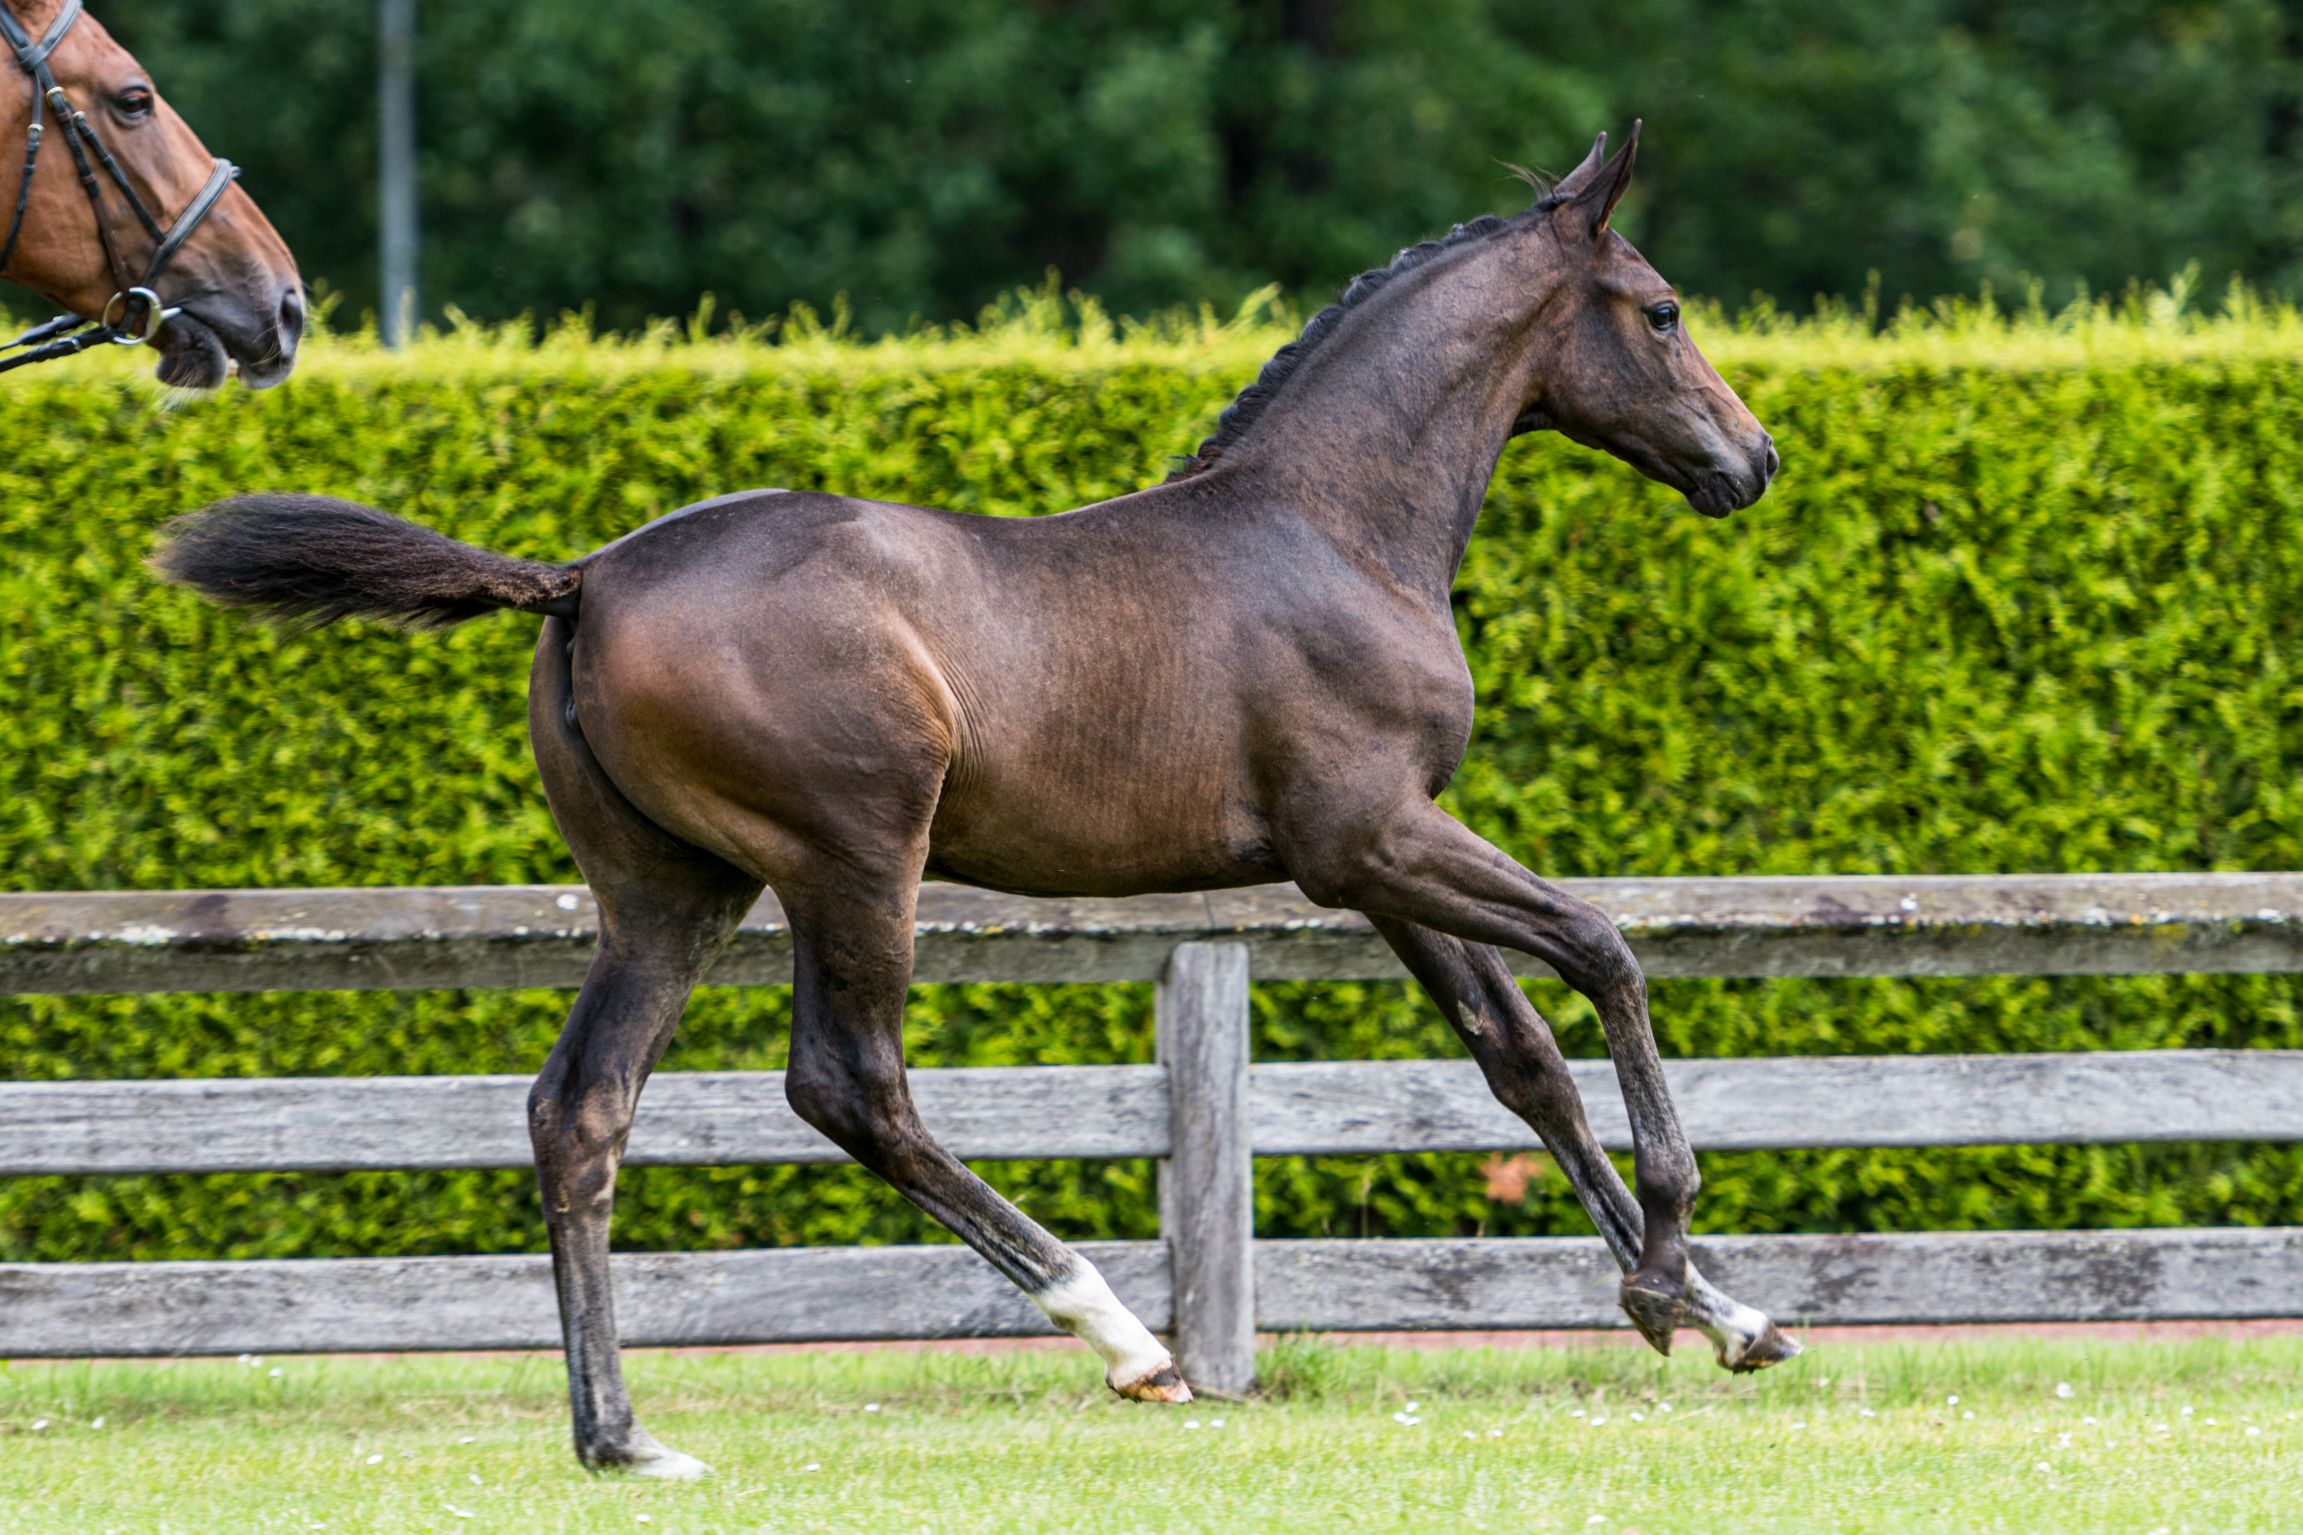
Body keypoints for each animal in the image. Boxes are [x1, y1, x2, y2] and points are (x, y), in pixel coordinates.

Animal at [155, 124, 1795, 1478]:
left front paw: (1722, 1313)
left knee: (582, 1108)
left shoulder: (1376, 858)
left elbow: (1517, 1058)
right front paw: (1665, 1269)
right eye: (1658, 309)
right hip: (854, 853)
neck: (1330, 527)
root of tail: (582, 578)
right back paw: (1123, 1336)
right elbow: (1600, 950)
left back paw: (620, 1436)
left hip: (668, 889)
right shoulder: (1372, 837)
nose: (1754, 458)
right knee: (848, 1084)